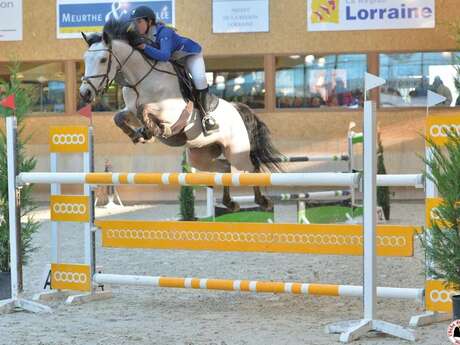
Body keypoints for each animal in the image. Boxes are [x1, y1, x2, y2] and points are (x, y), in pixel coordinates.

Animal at [79, 20, 284, 211]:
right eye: (85, 59)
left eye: (103, 59)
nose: (85, 93)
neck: (140, 81)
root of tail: (236, 109)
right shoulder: (130, 110)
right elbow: (120, 117)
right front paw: (139, 135)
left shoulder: (174, 111)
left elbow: (146, 109)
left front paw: (158, 130)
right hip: (200, 156)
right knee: (226, 168)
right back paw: (230, 203)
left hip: (236, 151)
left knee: (251, 167)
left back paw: (263, 201)